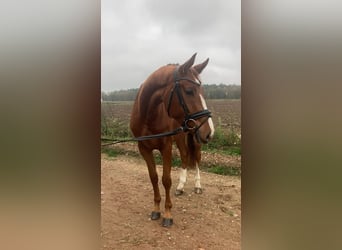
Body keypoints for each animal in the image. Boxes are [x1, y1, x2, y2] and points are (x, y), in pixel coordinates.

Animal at [130, 53, 215, 228]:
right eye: (189, 91)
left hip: (192, 137)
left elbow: (166, 180)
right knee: (184, 156)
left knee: (196, 159)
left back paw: (197, 185)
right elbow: (154, 178)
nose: (210, 131)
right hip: (182, 136)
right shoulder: (144, 149)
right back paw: (181, 186)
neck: (148, 116)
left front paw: (168, 214)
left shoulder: (166, 148)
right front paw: (156, 209)